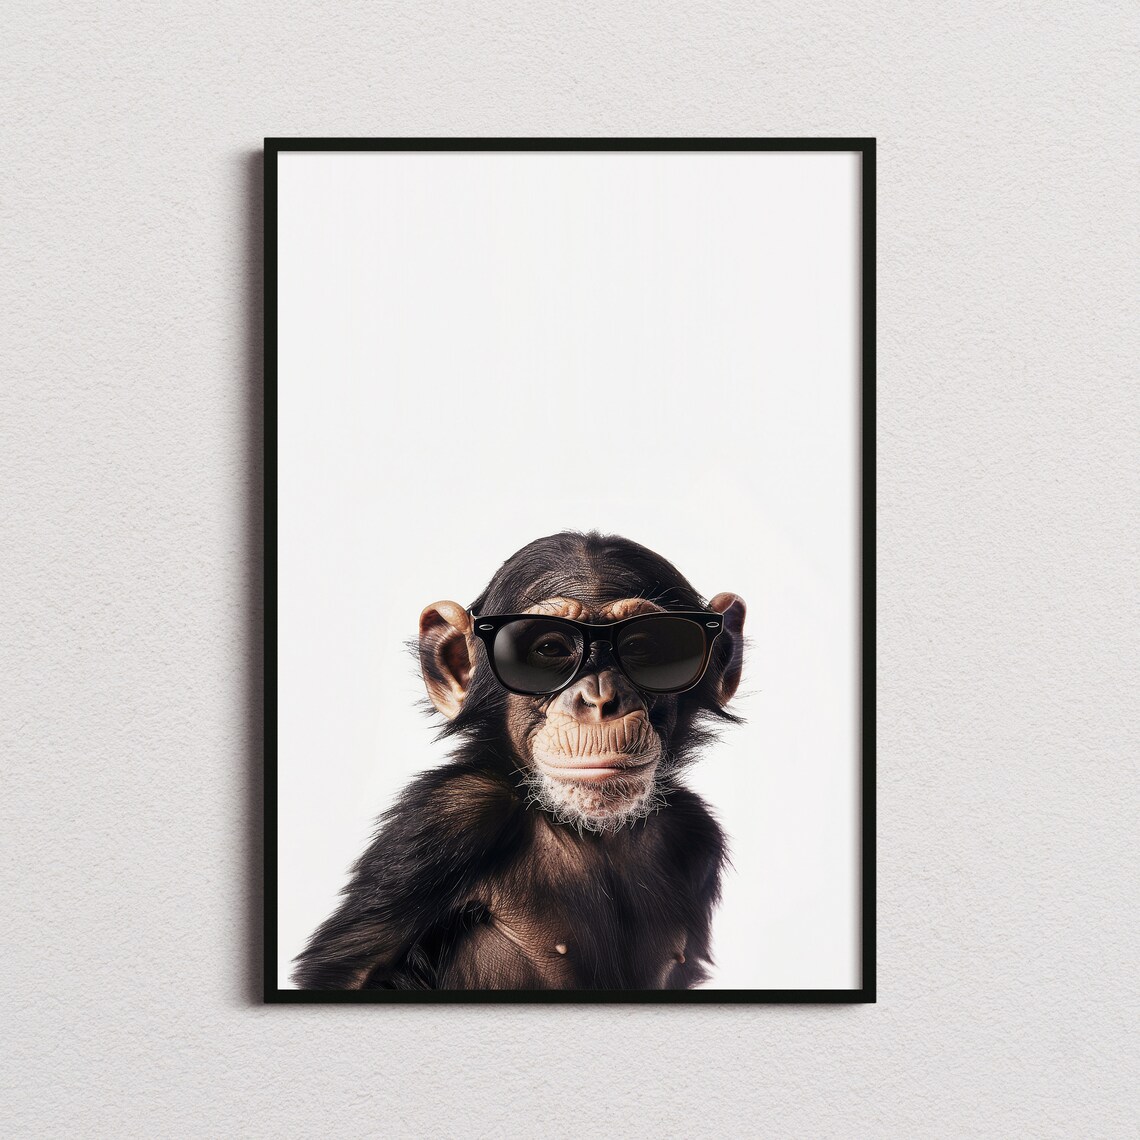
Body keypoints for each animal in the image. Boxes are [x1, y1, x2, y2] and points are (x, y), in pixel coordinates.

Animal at [292, 531, 746, 990]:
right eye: (549, 649)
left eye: (641, 647)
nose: (601, 699)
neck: (584, 828)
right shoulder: (450, 813)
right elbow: (354, 974)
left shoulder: (695, 832)